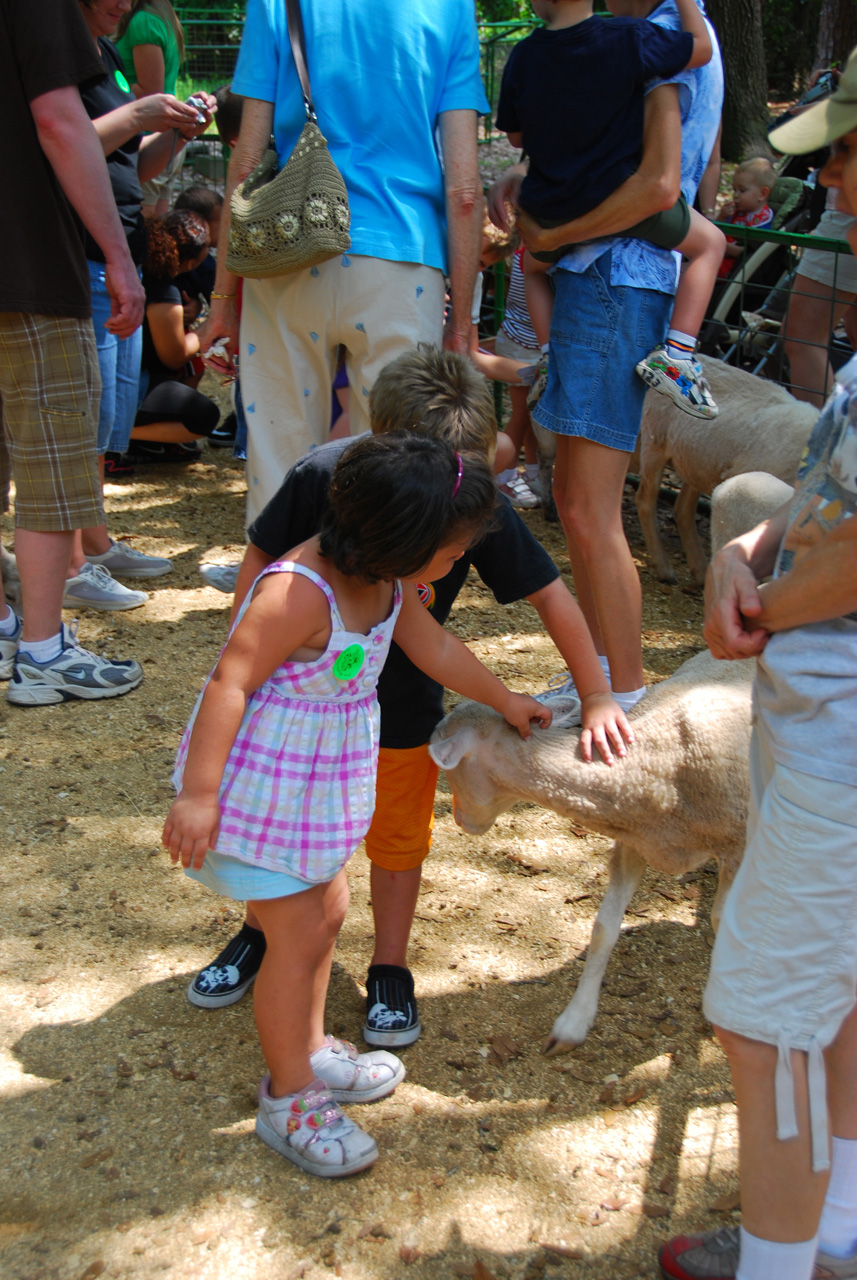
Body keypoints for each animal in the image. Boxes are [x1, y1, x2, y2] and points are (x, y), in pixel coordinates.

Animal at [634, 355, 813, 586]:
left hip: (697, 459)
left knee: (682, 508)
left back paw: (700, 569)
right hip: (655, 440)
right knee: (645, 500)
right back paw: (664, 568)